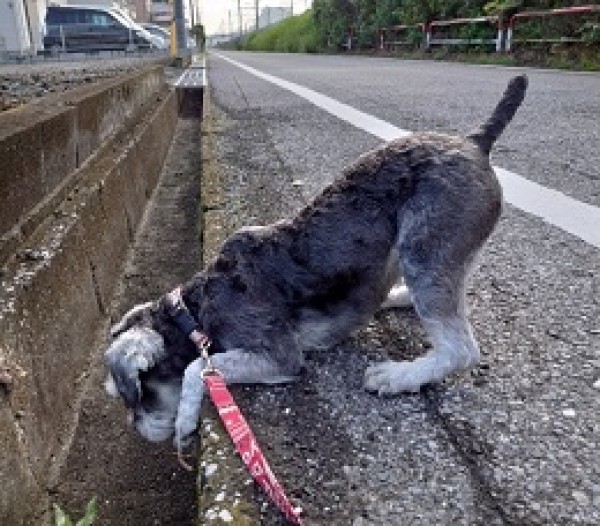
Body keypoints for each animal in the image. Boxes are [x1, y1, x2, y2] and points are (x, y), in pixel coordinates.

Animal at [105, 77, 528, 450]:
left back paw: (397, 376)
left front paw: (185, 423)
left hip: (425, 248)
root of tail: (475, 142)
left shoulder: (279, 356)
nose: (139, 432)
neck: (195, 311)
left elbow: (197, 369)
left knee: (459, 348)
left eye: (138, 394)